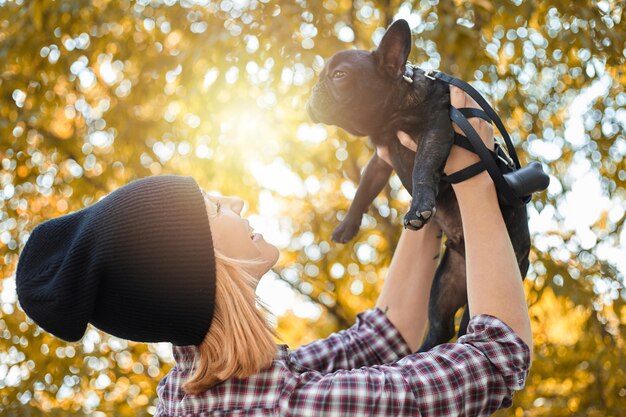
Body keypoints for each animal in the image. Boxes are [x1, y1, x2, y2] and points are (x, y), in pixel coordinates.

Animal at [304, 19, 528, 352]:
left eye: (340, 75)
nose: (314, 89)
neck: (391, 116)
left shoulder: (435, 129)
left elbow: (422, 166)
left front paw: (419, 208)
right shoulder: (381, 156)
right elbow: (365, 188)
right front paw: (347, 225)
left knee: (464, 324)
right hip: (447, 282)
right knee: (440, 324)